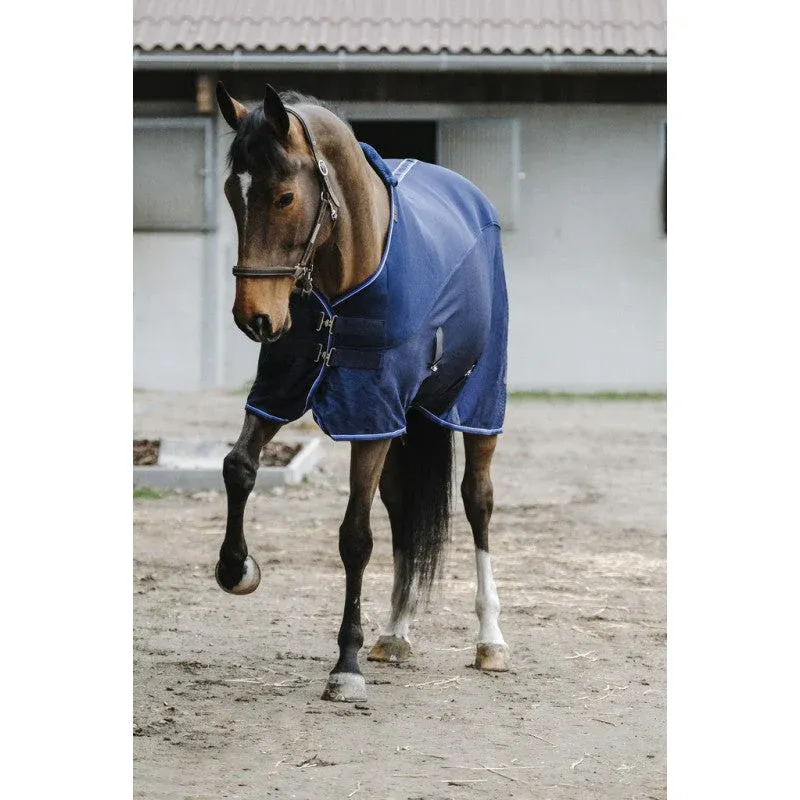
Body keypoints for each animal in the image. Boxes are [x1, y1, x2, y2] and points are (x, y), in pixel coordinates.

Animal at [213, 83, 510, 702]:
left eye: (283, 197)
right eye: (233, 193)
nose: (254, 318)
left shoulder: (369, 414)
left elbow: (355, 536)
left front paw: (345, 666)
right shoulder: (284, 389)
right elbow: (238, 467)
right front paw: (236, 569)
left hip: (477, 405)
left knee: (477, 501)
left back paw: (490, 640)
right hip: (404, 420)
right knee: (401, 508)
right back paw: (395, 632)